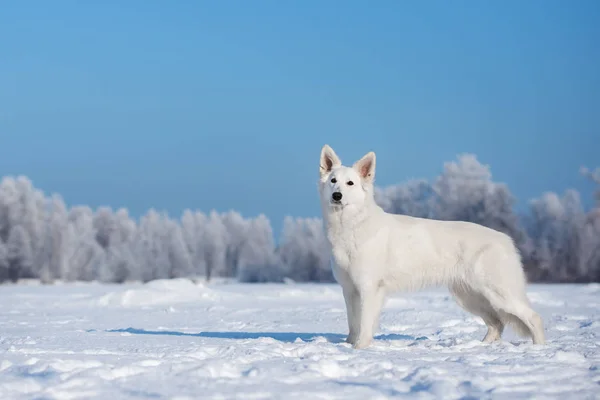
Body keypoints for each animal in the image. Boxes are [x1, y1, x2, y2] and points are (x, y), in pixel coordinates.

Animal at [322, 145, 548, 348]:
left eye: (350, 183)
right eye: (333, 181)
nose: (337, 196)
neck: (352, 225)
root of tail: (506, 239)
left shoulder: (369, 289)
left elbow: (364, 325)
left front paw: (360, 349)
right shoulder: (349, 290)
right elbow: (353, 324)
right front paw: (348, 346)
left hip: (498, 294)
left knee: (533, 317)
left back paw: (539, 349)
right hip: (470, 297)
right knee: (497, 324)